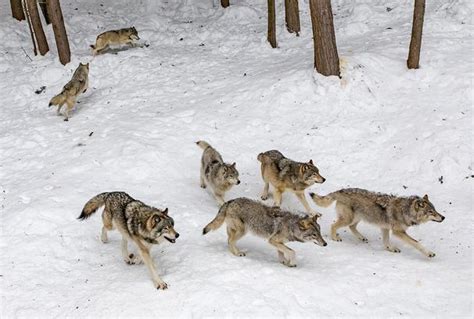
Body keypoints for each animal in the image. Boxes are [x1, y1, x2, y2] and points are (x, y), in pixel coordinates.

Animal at [310, 189, 446, 258]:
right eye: (431, 212)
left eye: (435, 210)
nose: (443, 217)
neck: (406, 211)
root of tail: (340, 190)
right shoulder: (398, 232)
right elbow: (416, 243)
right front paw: (429, 253)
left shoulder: (385, 228)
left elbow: (386, 242)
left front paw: (390, 249)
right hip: (349, 219)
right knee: (334, 225)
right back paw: (335, 238)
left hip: (357, 218)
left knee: (351, 227)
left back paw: (362, 238)